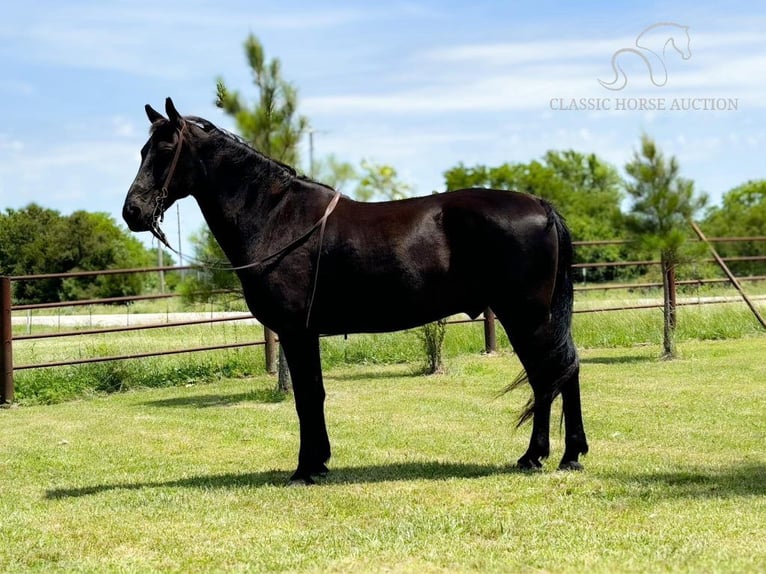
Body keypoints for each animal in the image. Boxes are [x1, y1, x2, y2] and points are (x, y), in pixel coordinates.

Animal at [123, 99, 592, 486]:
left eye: (165, 150)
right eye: (142, 152)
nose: (133, 212)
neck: (276, 216)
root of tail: (541, 206)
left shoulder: (296, 332)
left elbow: (307, 396)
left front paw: (306, 469)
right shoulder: (304, 334)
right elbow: (313, 394)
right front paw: (319, 462)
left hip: (525, 316)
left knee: (549, 375)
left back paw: (538, 456)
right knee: (563, 371)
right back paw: (569, 455)